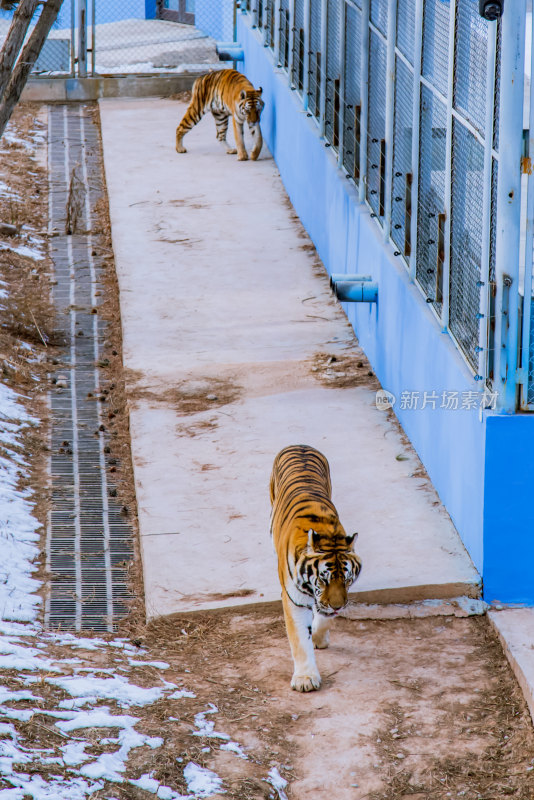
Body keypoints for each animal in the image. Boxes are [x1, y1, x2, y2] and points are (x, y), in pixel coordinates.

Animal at [270, 446, 362, 692]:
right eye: (323, 579)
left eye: (347, 579)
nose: (339, 606)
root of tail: (299, 444)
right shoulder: (294, 599)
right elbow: (300, 639)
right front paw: (305, 679)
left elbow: (325, 617)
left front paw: (320, 638)